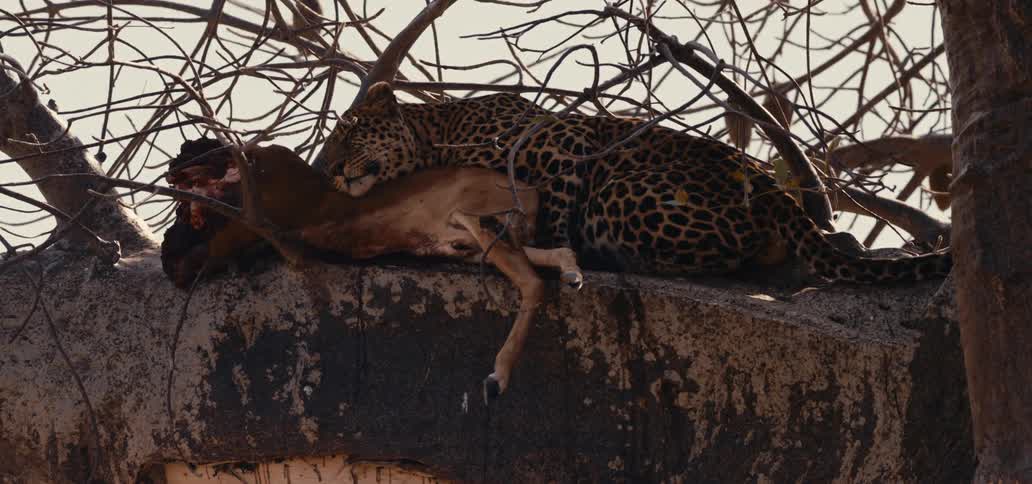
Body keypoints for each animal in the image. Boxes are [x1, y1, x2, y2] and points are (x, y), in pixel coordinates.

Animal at [316, 82, 951, 284]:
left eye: (350, 132)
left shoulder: (561, 140)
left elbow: (552, 209)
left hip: (619, 194)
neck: (436, 135)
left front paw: (554, 251)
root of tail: (767, 185)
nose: (332, 170)